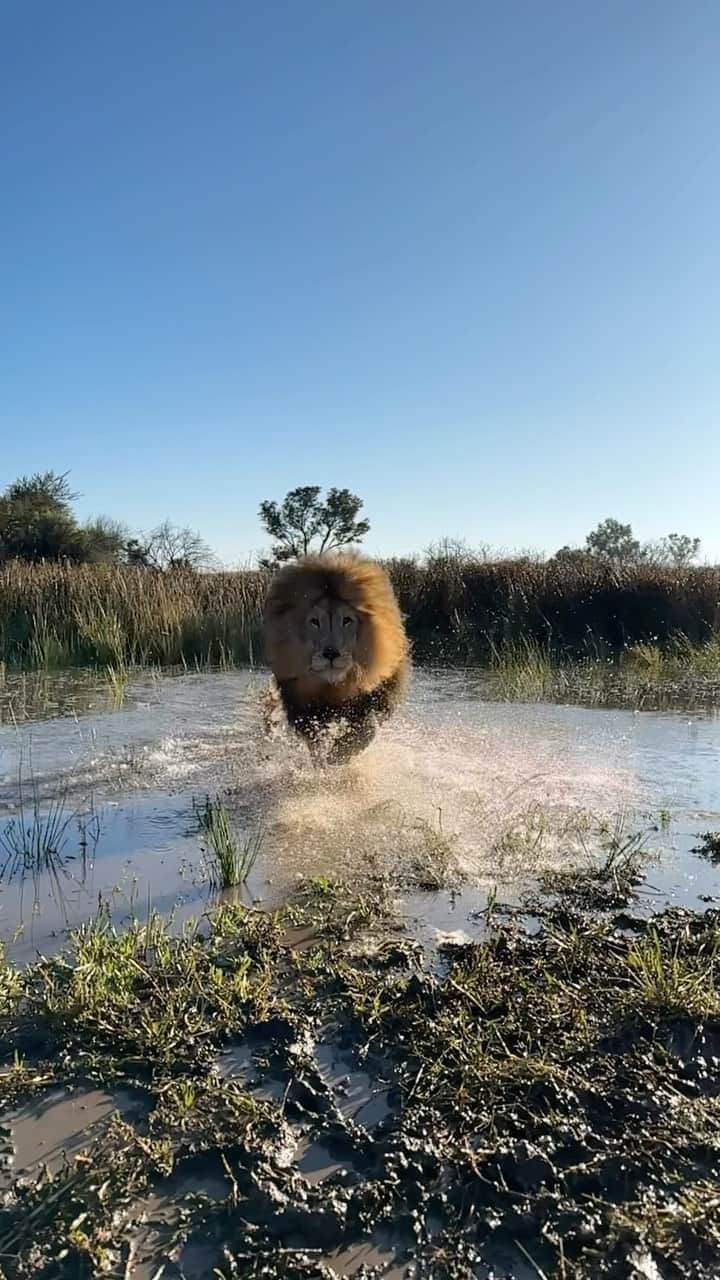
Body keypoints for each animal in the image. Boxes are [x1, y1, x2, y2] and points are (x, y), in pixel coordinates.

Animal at [263, 553, 409, 764]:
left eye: (347, 620)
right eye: (315, 622)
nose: (331, 653)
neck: (333, 687)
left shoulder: (374, 699)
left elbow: (367, 730)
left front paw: (339, 756)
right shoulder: (302, 708)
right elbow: (314, 743)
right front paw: (324, 762)